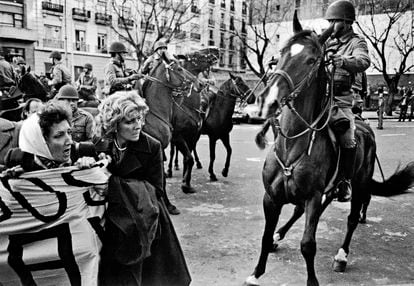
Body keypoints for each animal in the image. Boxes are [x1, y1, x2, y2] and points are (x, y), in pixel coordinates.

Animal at [244, 12, 414, 286]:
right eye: (280, 54)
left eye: (312, 59)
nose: (268, 101)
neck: (292, 144)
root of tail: (365, 125)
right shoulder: (271, 197)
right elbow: (266, 235)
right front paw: (257, 272)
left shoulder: (313, 196)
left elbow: (308, 244)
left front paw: (312, 280)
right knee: (305, 210)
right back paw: (280, 235)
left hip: (360, 182)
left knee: (352, 218)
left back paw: (342, 255)